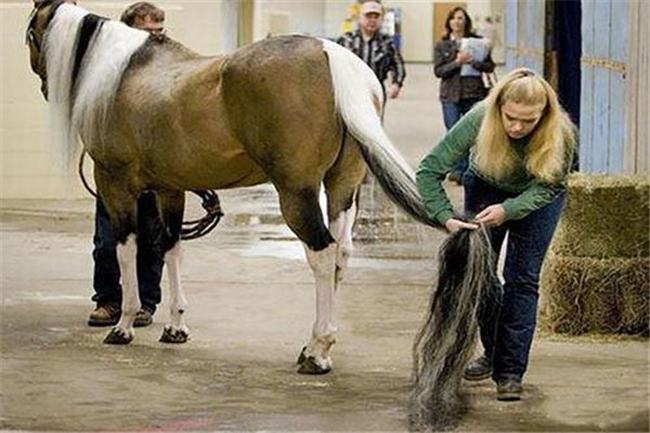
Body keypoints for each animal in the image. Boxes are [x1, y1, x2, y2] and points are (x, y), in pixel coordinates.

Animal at [24, 0, 440, 372]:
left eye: (30, 33)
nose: (43, 86)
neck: (122, 75)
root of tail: (330, 54)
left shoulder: (115, 184)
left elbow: (126, 250)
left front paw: (124, 326)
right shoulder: (169, 190)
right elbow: (171, 249)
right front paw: (175, 326)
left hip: (297, 193)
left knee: (322, 255)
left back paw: (317, 353)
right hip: (341, 188)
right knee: (341, 254)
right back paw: (312, 346)